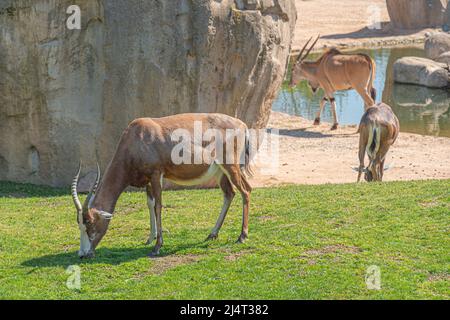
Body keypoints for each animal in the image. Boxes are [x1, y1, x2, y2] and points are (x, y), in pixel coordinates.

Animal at [72, 112, 251, 258]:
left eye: (90, 223)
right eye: (79, 223)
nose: (83, 254)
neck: (138, 135)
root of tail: (242, 125)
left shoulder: (156, 175)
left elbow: (158, 205)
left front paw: (157, 246)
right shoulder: (147, 181)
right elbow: (150, 204)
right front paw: (150, 239)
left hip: (231, 167)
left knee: (246, 191)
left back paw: (242, 237)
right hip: (220, 172)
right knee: (229, 194)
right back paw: (212, 234)